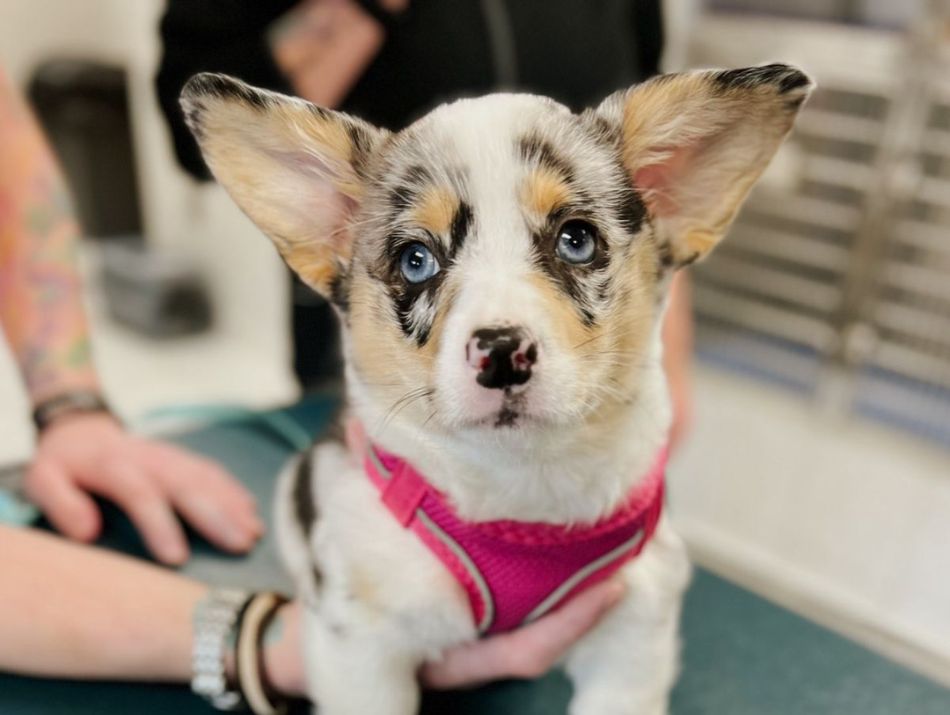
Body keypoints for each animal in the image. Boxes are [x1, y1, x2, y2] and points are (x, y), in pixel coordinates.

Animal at [182, 64, 816, 712]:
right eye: (415, 260)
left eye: (576, 240)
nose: (503, 352)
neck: (520, 484)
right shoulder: (361, 646)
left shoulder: (635, 626)